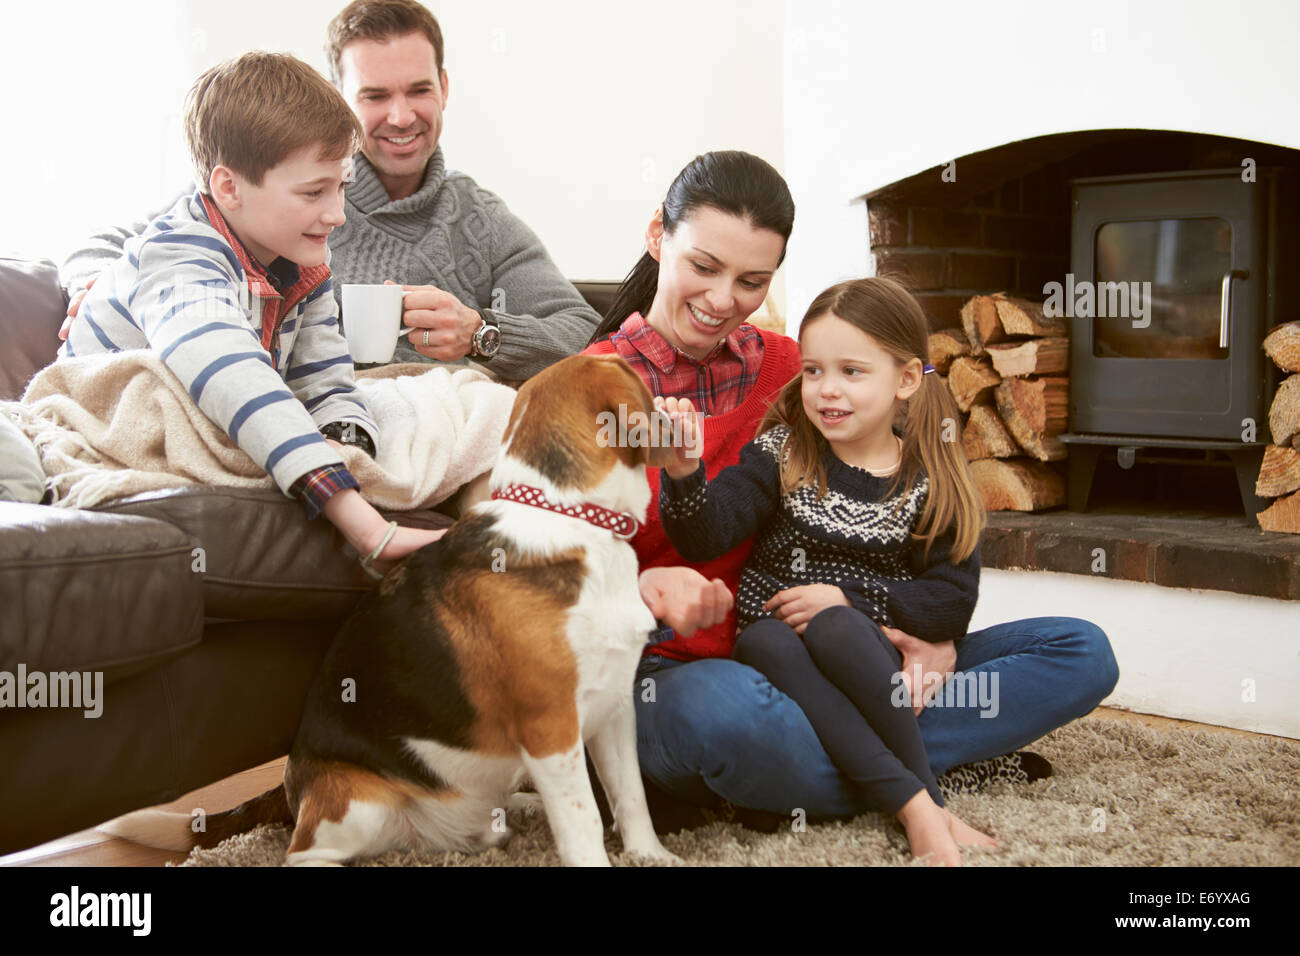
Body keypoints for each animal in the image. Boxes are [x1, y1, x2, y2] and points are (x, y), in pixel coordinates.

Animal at [101, 353, 686, 868]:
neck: (570, 516)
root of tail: (292, 784)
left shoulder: (614, 708)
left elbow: (629, 795)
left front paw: (650, 856)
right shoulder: (551, 728)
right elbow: (584, 820)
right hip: (357, 808)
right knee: (302, 854)